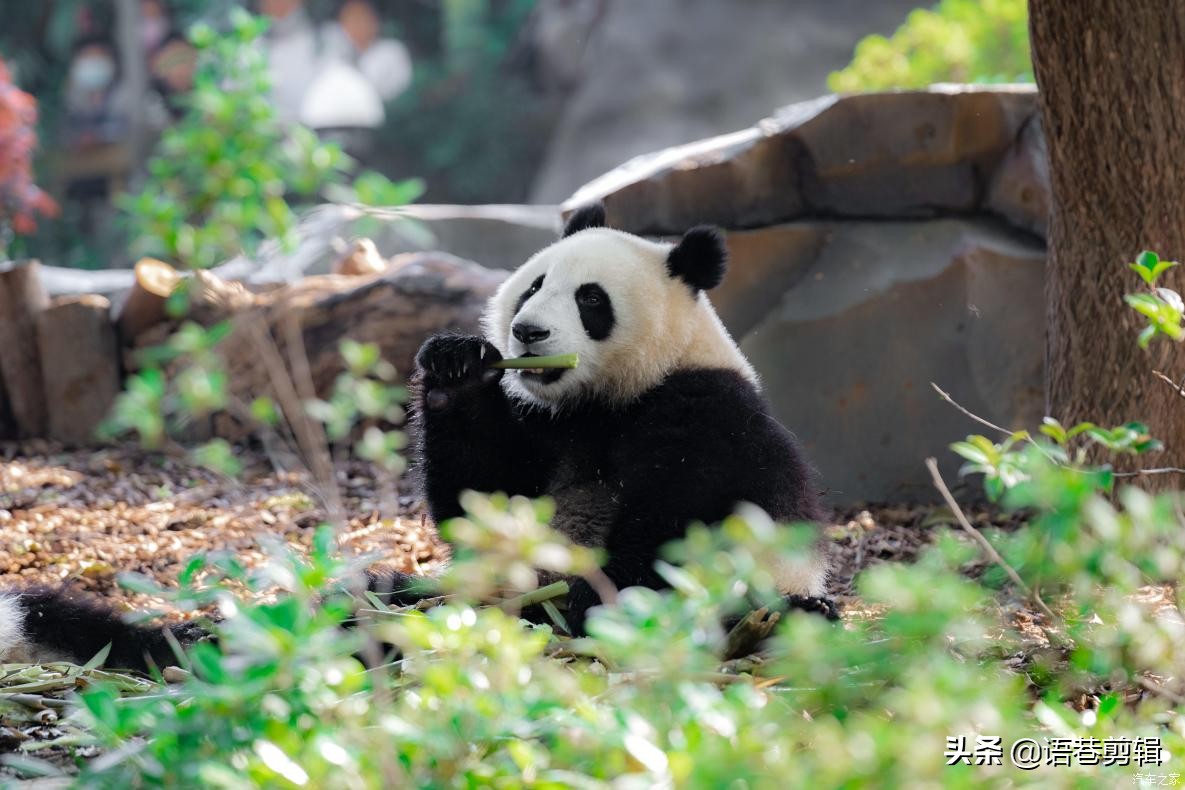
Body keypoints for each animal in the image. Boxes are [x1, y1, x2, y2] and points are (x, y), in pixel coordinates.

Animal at [0, 202, 834, 668]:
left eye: (590, 301)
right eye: (533, 286)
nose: (528, 335)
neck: (603, 397)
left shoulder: (701, 412)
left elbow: (663, 543)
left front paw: (578, 597)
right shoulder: (541, 421)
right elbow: (485, 498)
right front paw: (456, 364)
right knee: (383, 589)